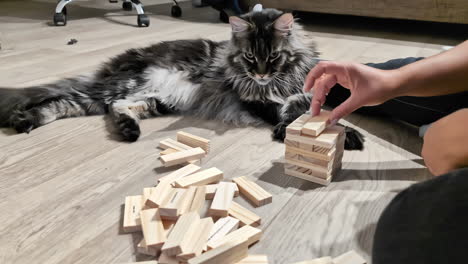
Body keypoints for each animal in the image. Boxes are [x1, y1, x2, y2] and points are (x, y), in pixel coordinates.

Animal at [0, 8, 364, 148]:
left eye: (273, 57)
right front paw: (344, 136)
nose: (260, 73)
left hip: (159, 99)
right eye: (250, 57)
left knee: (117, 106)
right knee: (63, 101)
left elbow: (312, 112)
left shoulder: (301, 92)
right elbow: (290, 116)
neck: (275, 82)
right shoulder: (255, 101)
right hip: (125, 86)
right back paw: (24, 119)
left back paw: (129, 129)